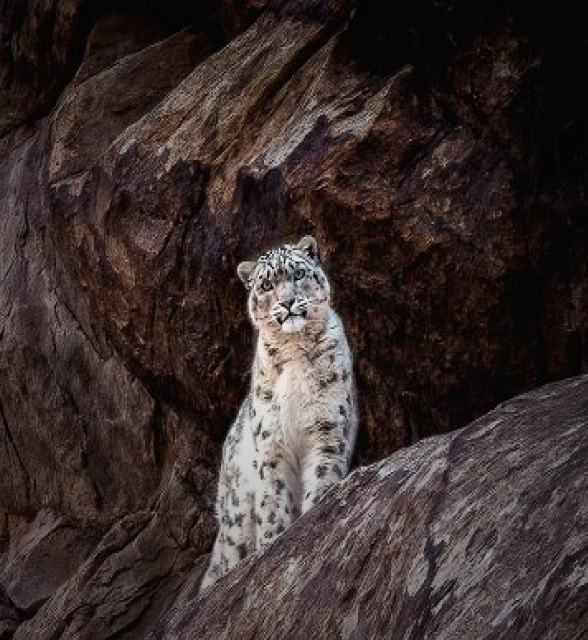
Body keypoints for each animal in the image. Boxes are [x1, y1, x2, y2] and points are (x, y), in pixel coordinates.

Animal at [199, 235, 357, 592]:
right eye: (267, 285)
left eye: (298, 273)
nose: (288, 302)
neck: (295, 350)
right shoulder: (271, 445)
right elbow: (272, 501)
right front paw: (273, 541)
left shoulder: (328, 429)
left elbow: (322, 478)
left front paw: (315, 512)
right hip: (235, 517)